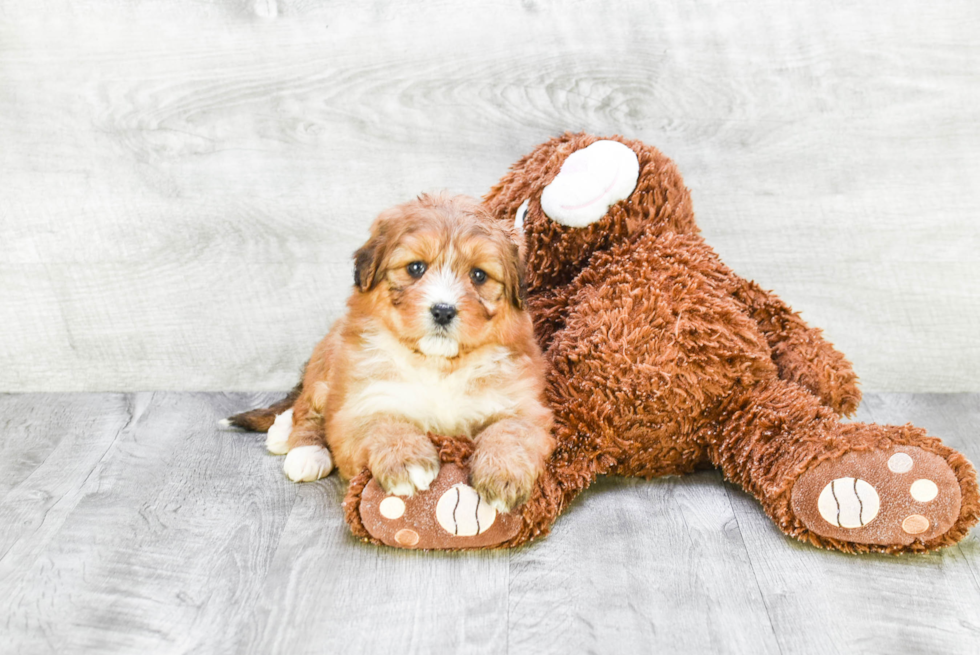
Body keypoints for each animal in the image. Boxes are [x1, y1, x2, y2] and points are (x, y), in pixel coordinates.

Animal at [225, 195, 556, 512]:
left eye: (478, 275)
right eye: (415, 268)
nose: (443, 311)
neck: (439, 364)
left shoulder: (522, 403)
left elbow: (511, 432)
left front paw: (504, 475)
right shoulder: (362, 398)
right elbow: (381, 420)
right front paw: (406, 459)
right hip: (326, 366)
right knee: (307, 408)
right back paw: (303, 449)